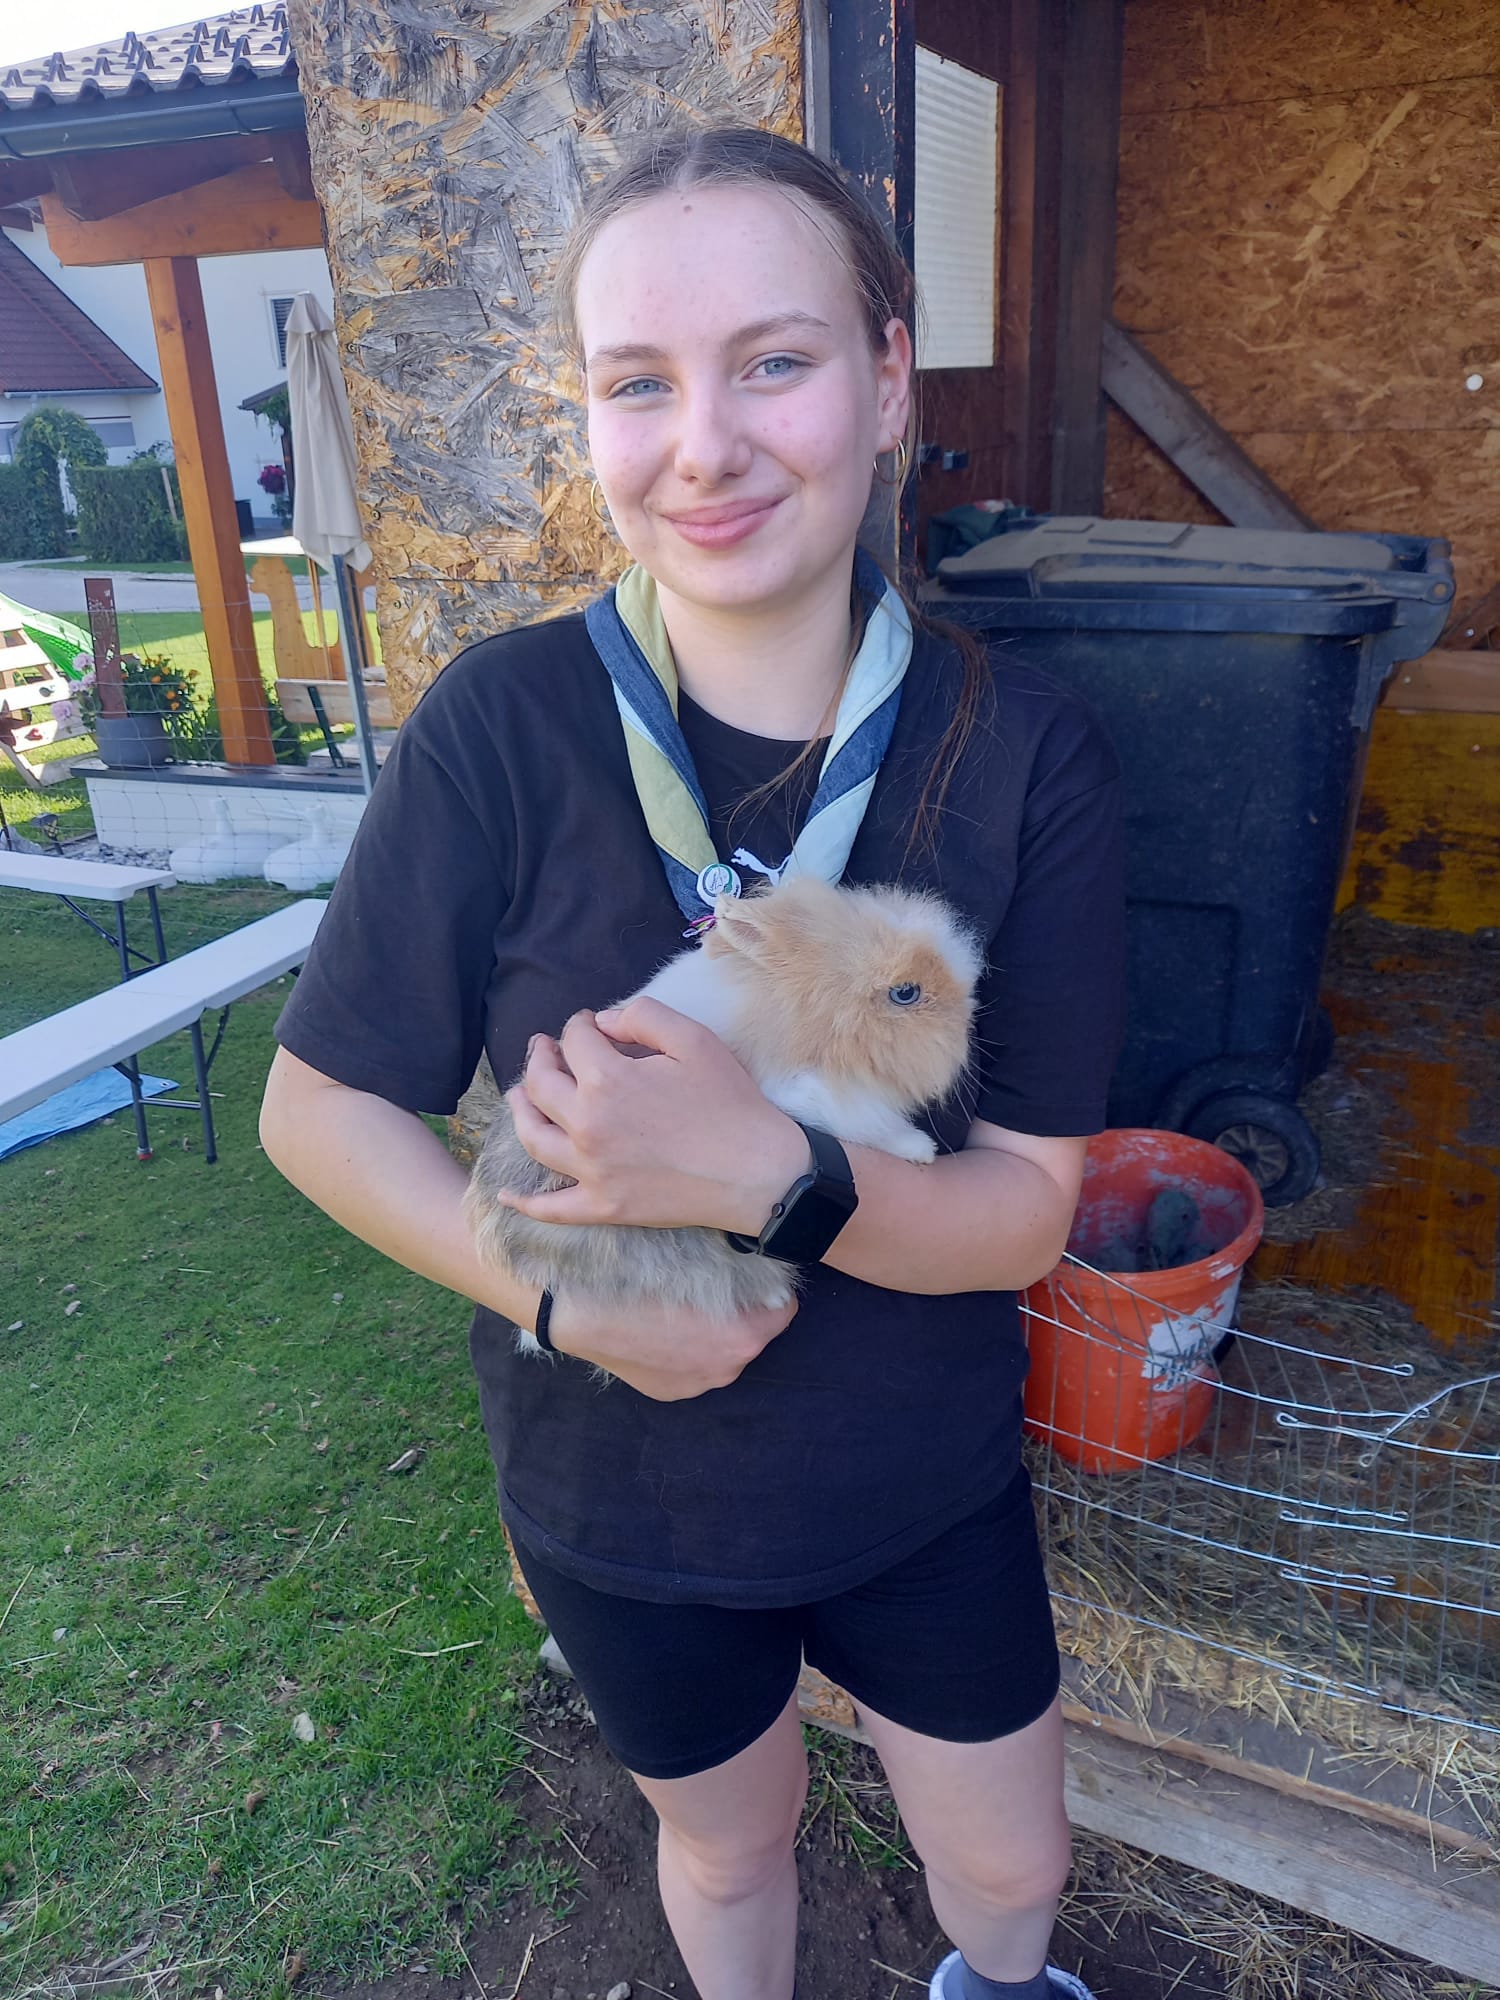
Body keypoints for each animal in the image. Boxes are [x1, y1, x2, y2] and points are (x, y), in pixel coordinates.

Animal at [464, 874, 984, 1351]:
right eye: (905, 993)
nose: (968, 1017)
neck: (797, 1020)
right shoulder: (819, 1099)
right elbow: (872, 1126)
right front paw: (921, 1149)